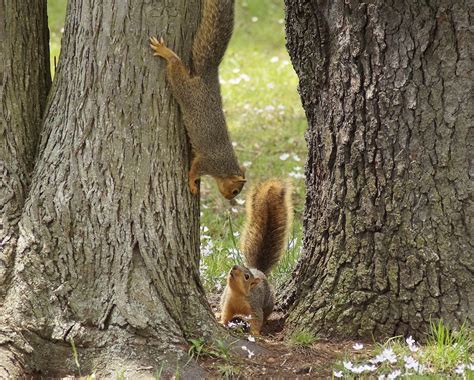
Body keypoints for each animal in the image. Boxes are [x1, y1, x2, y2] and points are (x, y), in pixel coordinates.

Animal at [150, 0, 246, 200]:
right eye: (235, 190)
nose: (229, 199)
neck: (225, 167)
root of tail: (208, 76)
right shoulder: (207, 162)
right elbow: (194, 170)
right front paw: (192, 184)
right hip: (186, 90)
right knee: (175, 65)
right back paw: (166, 52)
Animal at [219, 180, 292, 334]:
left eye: (247, 277)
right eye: (238, 265)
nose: (234, 267)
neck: (237, 295)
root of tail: (258, 270)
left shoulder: (254, 307)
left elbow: (257, 320)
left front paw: (255, 334)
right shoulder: (227, 303)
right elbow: (226, 315)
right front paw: (222, 322)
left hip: (269, 301)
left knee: (266, 314)